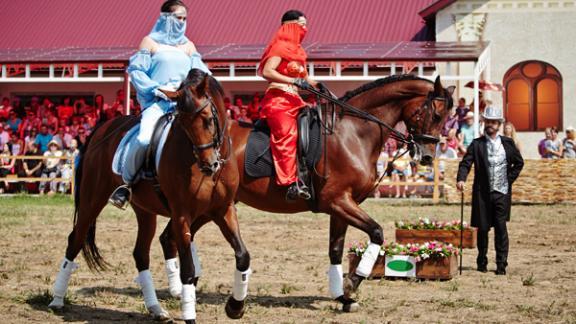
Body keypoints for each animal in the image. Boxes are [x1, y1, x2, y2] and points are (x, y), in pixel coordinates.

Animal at [47, 69, 250, 324]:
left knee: (140, 253)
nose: (208, 165)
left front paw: (235, 306)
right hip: (92, 200)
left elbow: (242, 256)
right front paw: (190, 315)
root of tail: (103, 128)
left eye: (208, 119)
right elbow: (188, 270)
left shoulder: (223, 209)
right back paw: (57, 300)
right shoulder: (182, 215)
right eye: (182, 124)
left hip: (145, 211)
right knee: (75, 239)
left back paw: (156, 309)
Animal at [156, 75, 454, 312]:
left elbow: (336, 250)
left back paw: (183, 288)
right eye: (437, 116)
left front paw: (342, 296)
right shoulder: (338, 201)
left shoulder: (342, 206)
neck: (353, 132)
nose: (427, 156)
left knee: (170, 236)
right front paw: (352, 282)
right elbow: (377, 233)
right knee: (173, 236)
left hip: (211, 207)